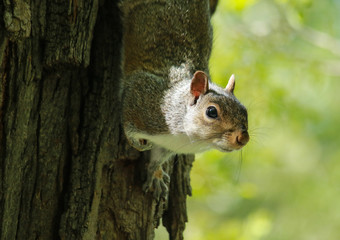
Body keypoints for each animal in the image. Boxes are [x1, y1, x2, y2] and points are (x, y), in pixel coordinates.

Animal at [119, 0, 250, 199]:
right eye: (211, 111)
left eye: (245, 111)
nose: (243, 138)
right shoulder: (142, 96)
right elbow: (127, 122)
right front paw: (137, 144)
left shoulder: (166, 146)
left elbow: (157, 159)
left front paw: (156, 175)